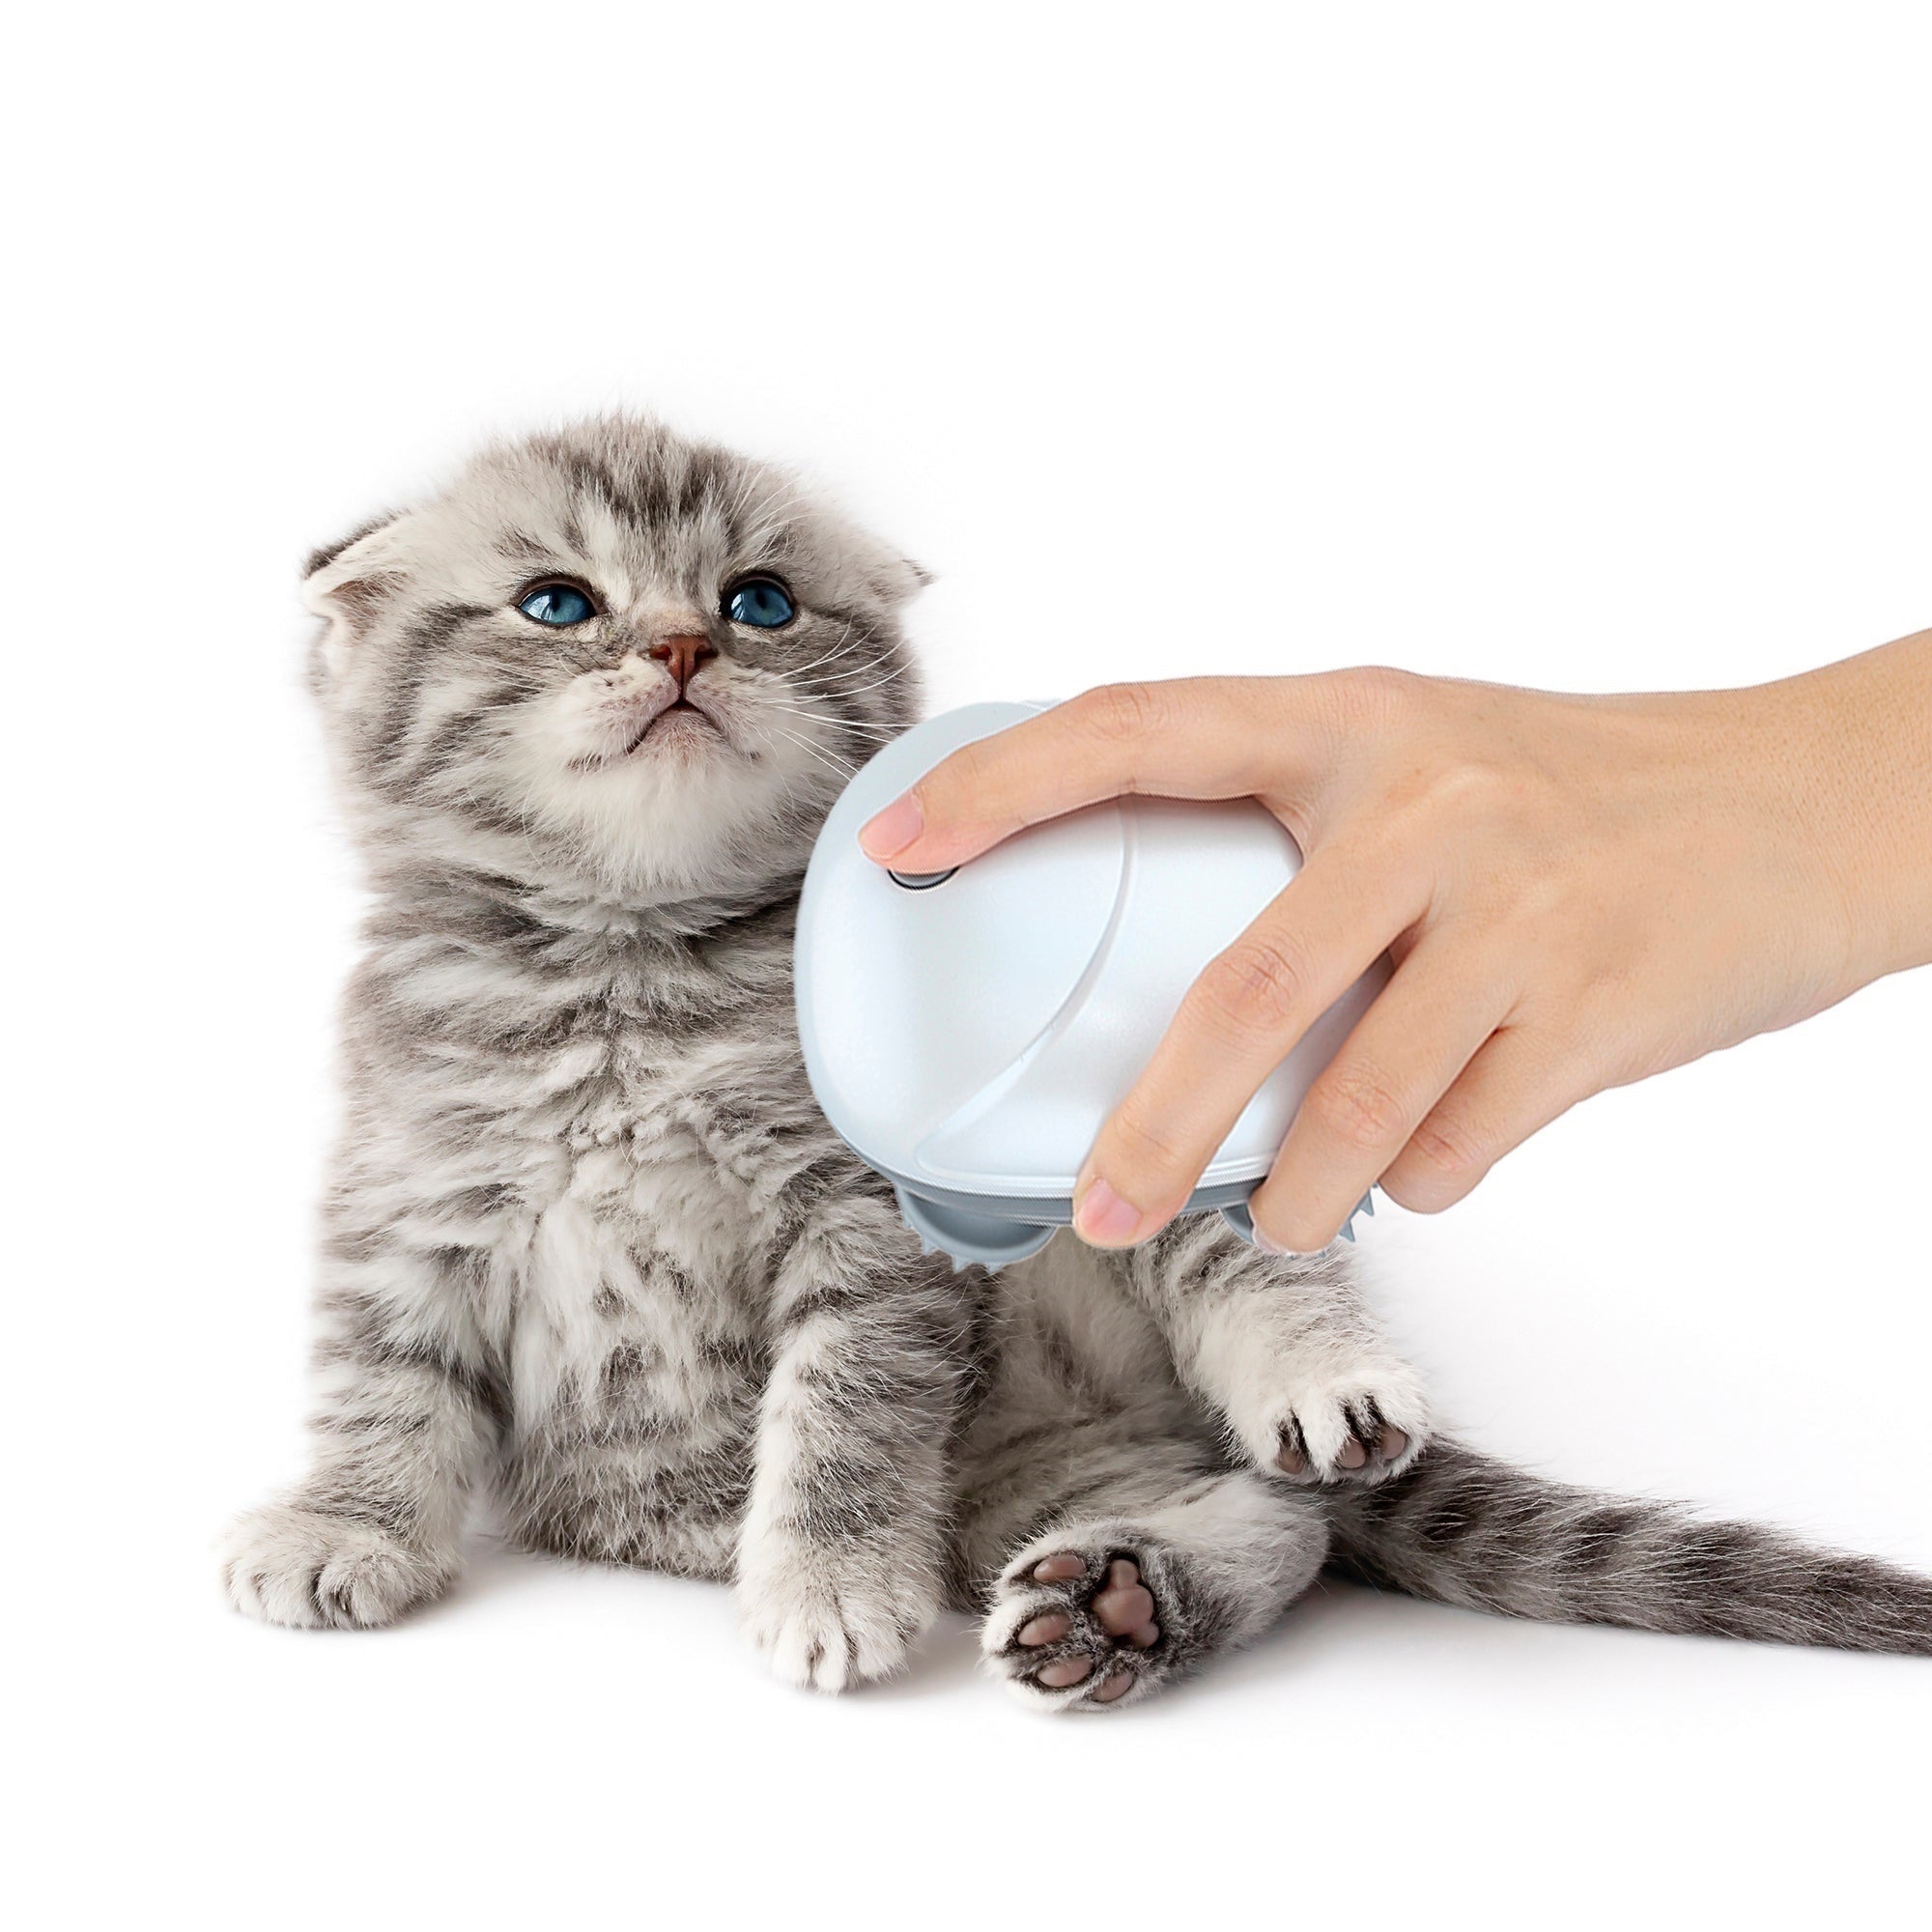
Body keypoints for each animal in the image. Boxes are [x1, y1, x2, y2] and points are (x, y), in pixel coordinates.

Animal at [226, 412, 1932, 1708]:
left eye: (763, 600)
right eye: (557, 604)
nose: (685, 648)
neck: (631, 970)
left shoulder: (869, 1226)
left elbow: (842, 1411)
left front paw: (827, 1580)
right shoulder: (410, 1205)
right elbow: (380, 1384)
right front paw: (340, 1525)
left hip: (1107, 1166)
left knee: (1275, 1423)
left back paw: (1279, 1425)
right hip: (1032, 1467)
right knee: (1273, 1524)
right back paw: (1122, 1598)